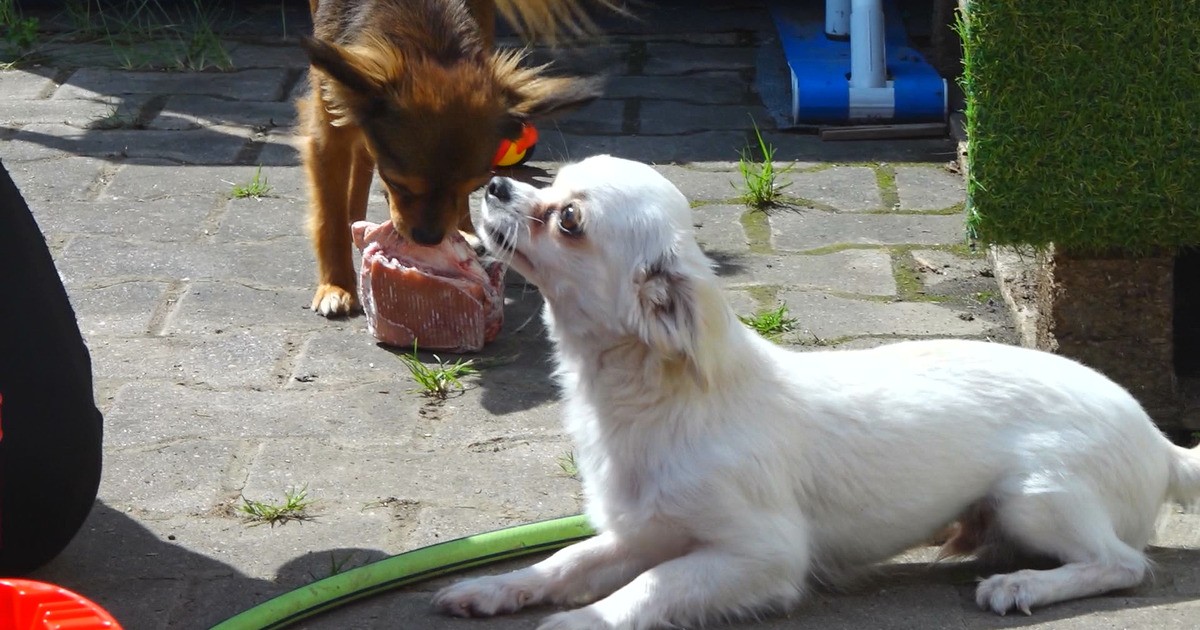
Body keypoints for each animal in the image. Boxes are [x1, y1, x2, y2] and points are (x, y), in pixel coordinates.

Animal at [296, 0, 604, 314]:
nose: (429, 239)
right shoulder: (327, 133)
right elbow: (329, 216)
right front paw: (337, 287)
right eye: (397, 184)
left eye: (474, 186)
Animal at [434, 153, 1200, 628]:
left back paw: (1024, 585)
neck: (645, 402)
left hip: (1035, 495)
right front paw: (492, 588)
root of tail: (1163, 445)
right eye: (547, 184)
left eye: (569, 220)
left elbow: (649, 588)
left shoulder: (760, 555)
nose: (496, 184)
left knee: (1123, 564)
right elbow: (565, 560)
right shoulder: (642, 531)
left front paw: (579, 619)